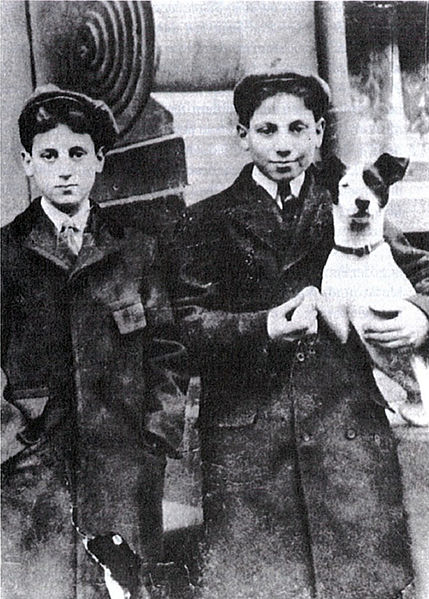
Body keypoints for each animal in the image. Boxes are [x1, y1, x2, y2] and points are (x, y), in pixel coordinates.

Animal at [318, 154, 428, 426]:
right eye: (345, 185)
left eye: (376, 183)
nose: (362, 202)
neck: (358, 254)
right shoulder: (341, 325)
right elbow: (312, 295)